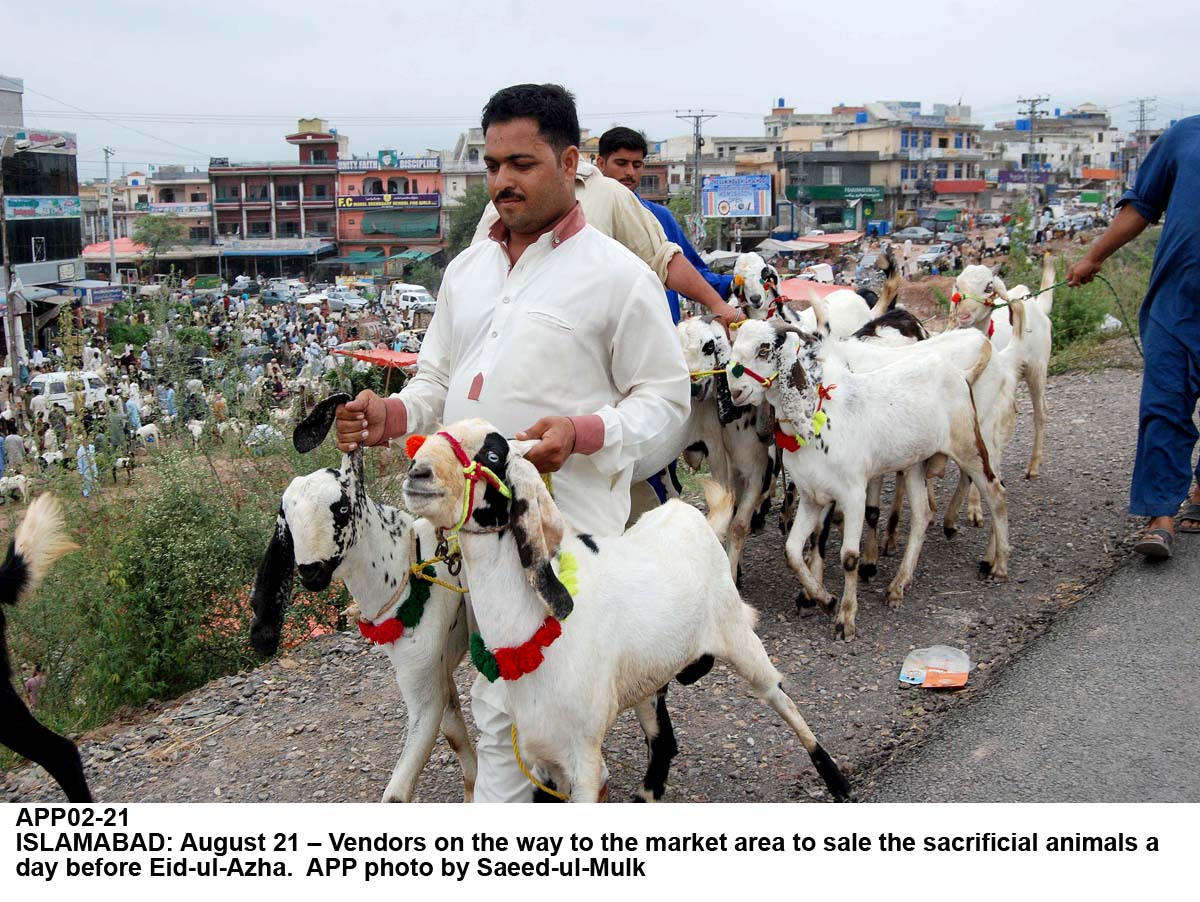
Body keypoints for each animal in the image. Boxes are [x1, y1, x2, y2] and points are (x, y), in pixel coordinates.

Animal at [249, 393, 477, 801]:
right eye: (285, 519)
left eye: (342, 507)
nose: (310, 571)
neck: (410, 566)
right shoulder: (435, 677)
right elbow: (454, 734)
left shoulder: (424, 691)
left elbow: (397, 794)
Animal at [403, 419, 854, 801]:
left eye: (494, 454)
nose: (417, 473)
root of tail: (696, 519)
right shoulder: (540, 758)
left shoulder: (584, 758)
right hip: (646, 677)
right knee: (664, 737)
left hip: (738, 636)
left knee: (777, 694)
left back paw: (836, 779)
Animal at [724, 316, 1008, 642]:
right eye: (734, 345)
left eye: (764, 349)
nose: (736, 392)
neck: (818, 415)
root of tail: (962, 375)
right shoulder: (811, 497)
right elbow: (793, 552)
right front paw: (823, 598)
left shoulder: (853, 494)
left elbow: (848, 557)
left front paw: (845, 619)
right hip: (913, 463)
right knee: (922, 515)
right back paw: (898, 585)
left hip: (970, 446)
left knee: (996, 494)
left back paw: (998, 564)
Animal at [950, 254, 1056, 479]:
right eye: (957, 284)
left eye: (988, 286)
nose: (964, 316)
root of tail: (1036, 305)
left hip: (1037, 367)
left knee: (1040, 412)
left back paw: (1033, 465)